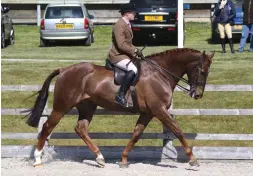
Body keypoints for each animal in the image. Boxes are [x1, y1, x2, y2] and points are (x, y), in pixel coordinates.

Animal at [27, 47, 213, 168]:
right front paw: (192, 159)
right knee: (47, 126)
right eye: (203, 71)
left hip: (87, 107)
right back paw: (37, 159)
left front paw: (123, 159)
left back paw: (100, 158)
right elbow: (177, 131)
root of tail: (64, 69)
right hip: (62, 106)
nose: (198, 94)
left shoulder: (147, 113)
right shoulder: (159, 110)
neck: (160, 74)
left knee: (81, 129)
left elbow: (136, 134)